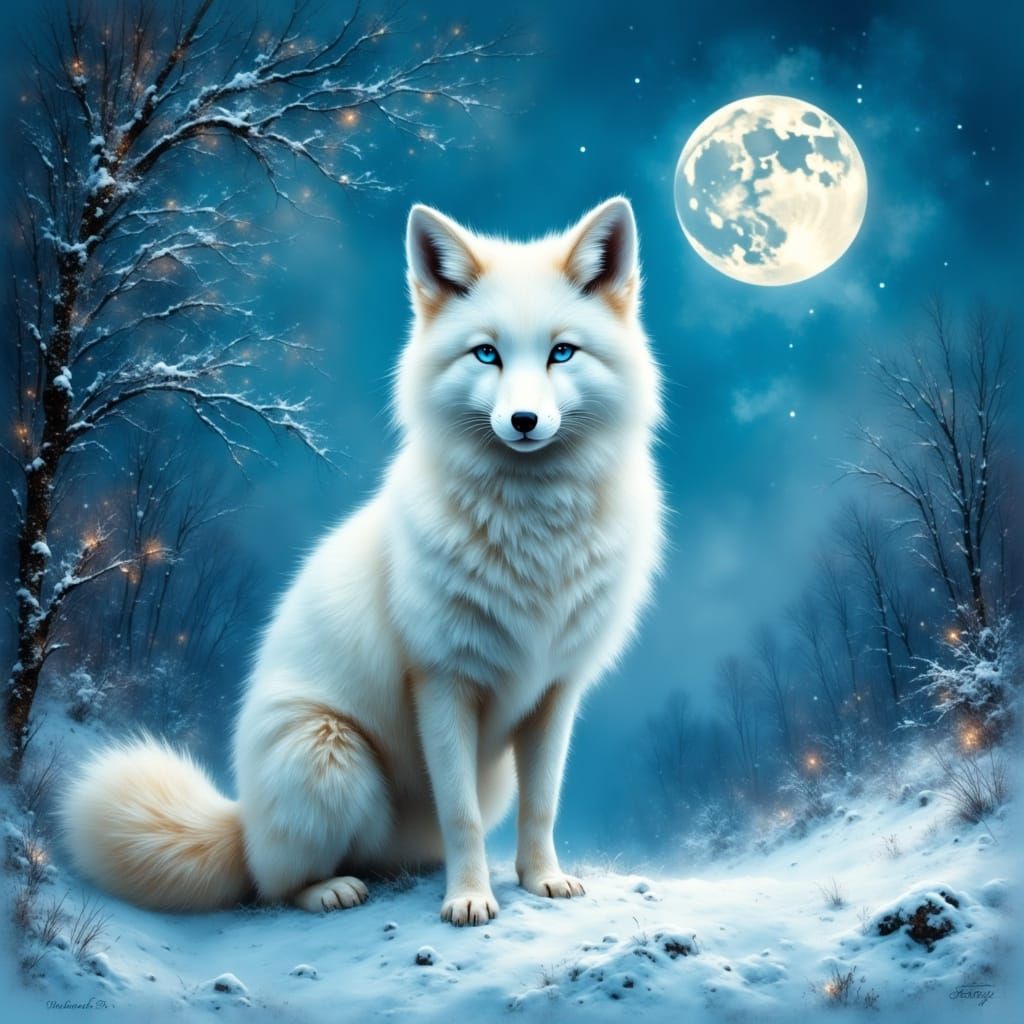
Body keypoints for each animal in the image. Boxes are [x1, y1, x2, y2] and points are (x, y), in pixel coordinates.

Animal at [59, 197, 665, 926]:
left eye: (562, 353)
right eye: (487, 354)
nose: (522, 421)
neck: (533, 529)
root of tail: (245, 821)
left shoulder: (555, 691)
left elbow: (542, 805)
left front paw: (541, 879)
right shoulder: (441, 680)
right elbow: (460, 813)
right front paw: (469, 898)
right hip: (328, 753)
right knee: (275, 883)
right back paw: (332, 889)